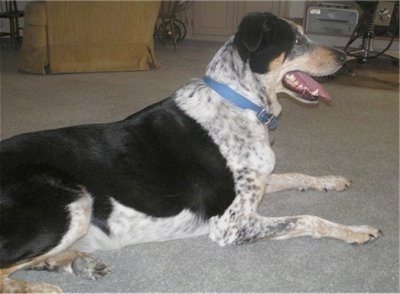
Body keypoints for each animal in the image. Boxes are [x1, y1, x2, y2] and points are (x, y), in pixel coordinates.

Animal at [0, 12, 382, 294]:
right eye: (298, 41)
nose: (345, 56)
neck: (240, 101)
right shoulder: (232, 225)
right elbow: (308, 218)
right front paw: (357, 230)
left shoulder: (258, 182)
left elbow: (296, 175)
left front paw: (331, 180)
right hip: (73, 201)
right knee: (5, 272)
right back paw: (44, 286)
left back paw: (76, 262)